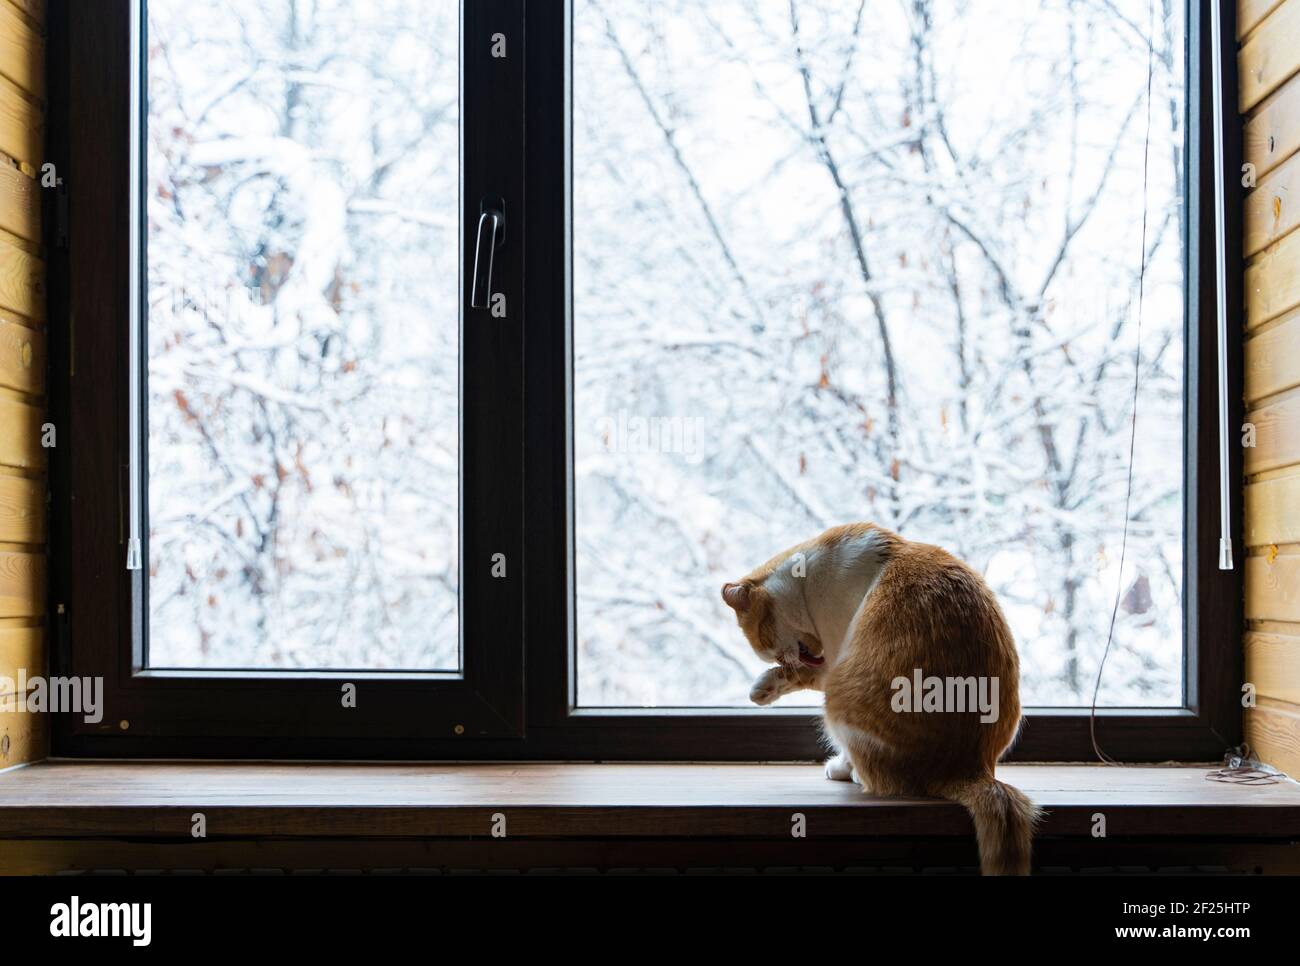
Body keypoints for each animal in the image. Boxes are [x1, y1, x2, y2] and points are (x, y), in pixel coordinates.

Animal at [728, 522, 1040, 878]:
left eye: (766, 642)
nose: (781, 658)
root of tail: (968, 769)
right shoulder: (824, 661)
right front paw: (766, 686)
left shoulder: (834, 660)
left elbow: (808, 679)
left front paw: (767, 684)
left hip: (838, 698)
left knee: (871, 771)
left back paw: (847, 771)